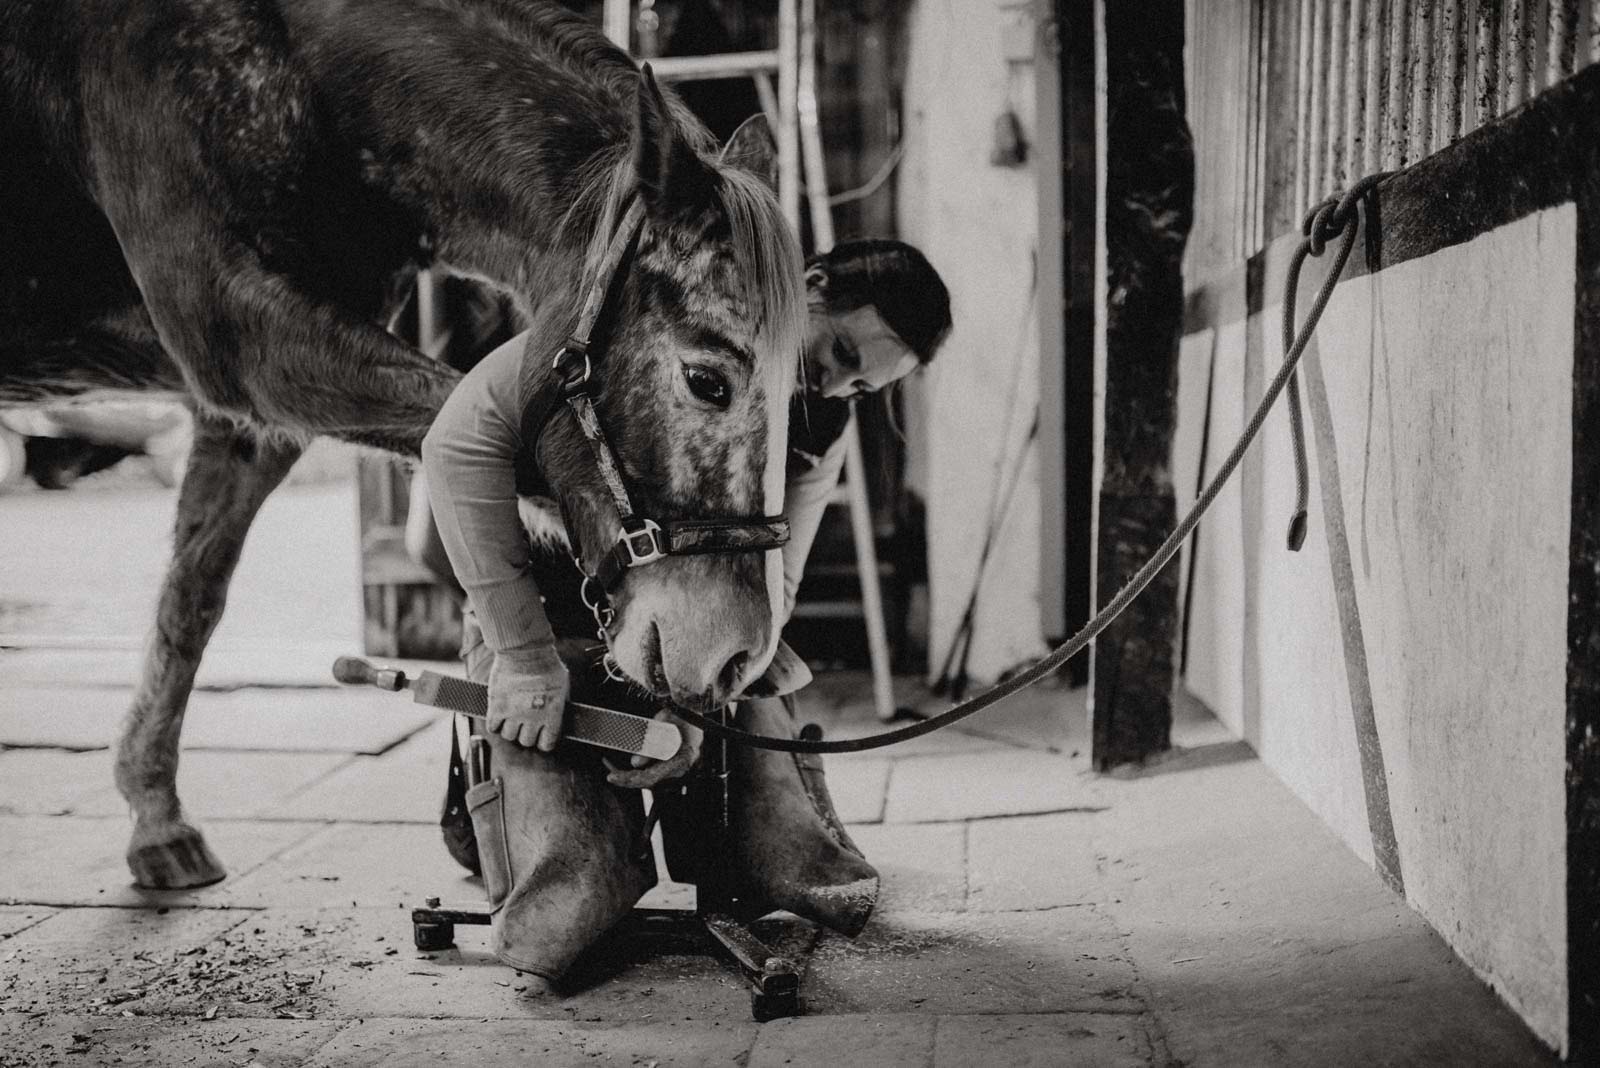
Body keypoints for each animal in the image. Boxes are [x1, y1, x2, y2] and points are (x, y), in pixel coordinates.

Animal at [0, 2, 800, 895]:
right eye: (706, 380)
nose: (736, 654)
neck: (294, 64)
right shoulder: (242, 335)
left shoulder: (248, 419)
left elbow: (191, 602)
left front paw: (155, 818)